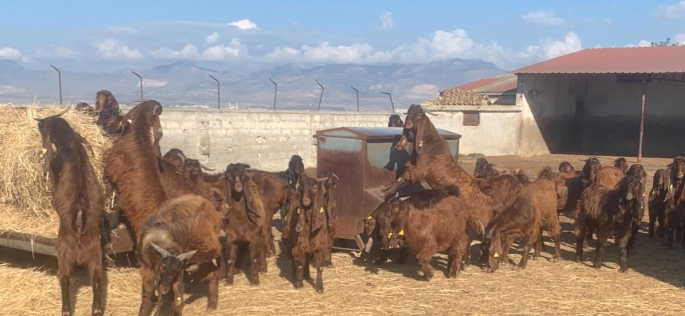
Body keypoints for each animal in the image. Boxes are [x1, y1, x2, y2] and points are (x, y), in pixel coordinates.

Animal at [35, 106, 105, 316]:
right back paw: (96, 309)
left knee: (64, 279)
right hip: (96, 253)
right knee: (97, 279)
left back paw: (66, 309)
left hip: (63, 252)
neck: (70, 143)